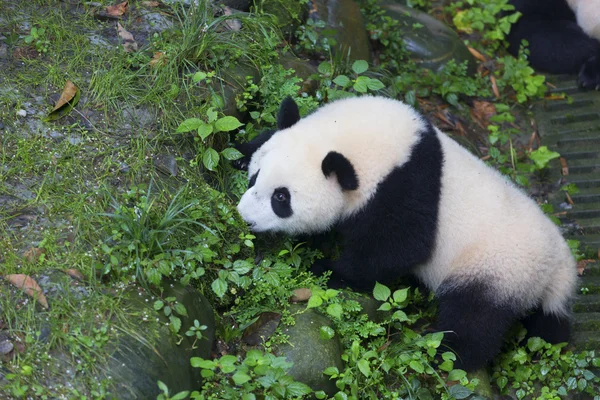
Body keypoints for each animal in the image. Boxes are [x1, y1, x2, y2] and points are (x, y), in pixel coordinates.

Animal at [234, 97, 576, 372]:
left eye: (281, 198)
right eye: (255, 177)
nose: (245, 217)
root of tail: (557, 264)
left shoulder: (405, 186)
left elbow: (401, 246)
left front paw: (328, 269)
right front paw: (239, 151)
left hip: (497, 267)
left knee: (474, 318)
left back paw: (444, 353)